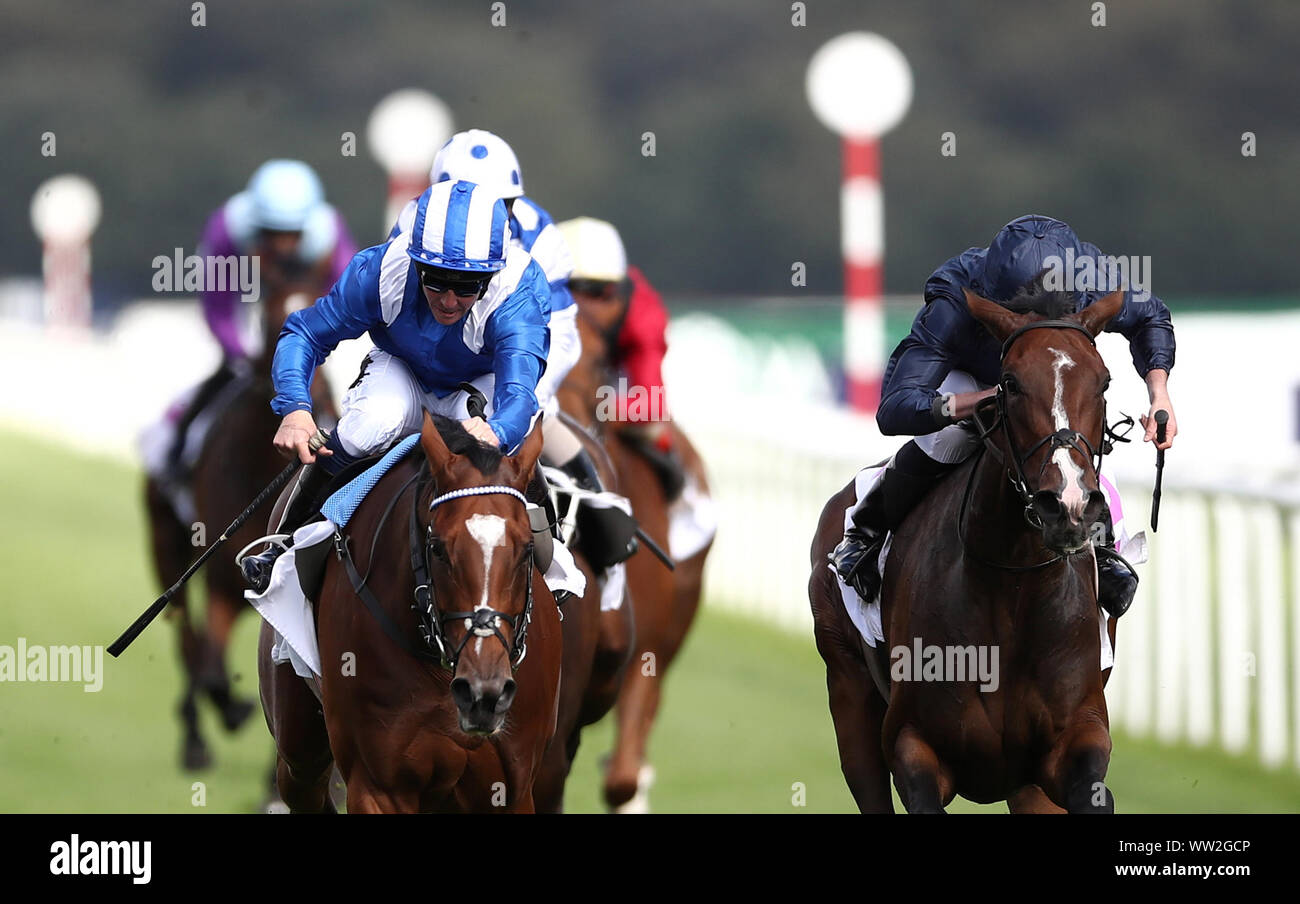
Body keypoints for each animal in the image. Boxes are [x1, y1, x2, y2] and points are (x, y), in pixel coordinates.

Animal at [144, 270, 335, 770]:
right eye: (269, 319)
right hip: (167, 549)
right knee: (186, 636)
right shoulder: (221, 583)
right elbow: (211, 662)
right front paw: (230, 710)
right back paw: (197, 735)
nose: (320, 408)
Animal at [262, 413, 564, 811]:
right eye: (438, 548)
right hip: (298, 744)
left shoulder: (510, 788)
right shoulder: (378, 785)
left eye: (527, 548)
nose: (483, 692)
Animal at [811, 288, 1128, 811]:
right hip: (846, 686)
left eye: (1104, 381)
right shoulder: (913, 745)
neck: (1012, 590)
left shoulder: (1075, 740)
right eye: (1009, 382)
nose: (1068, 505)